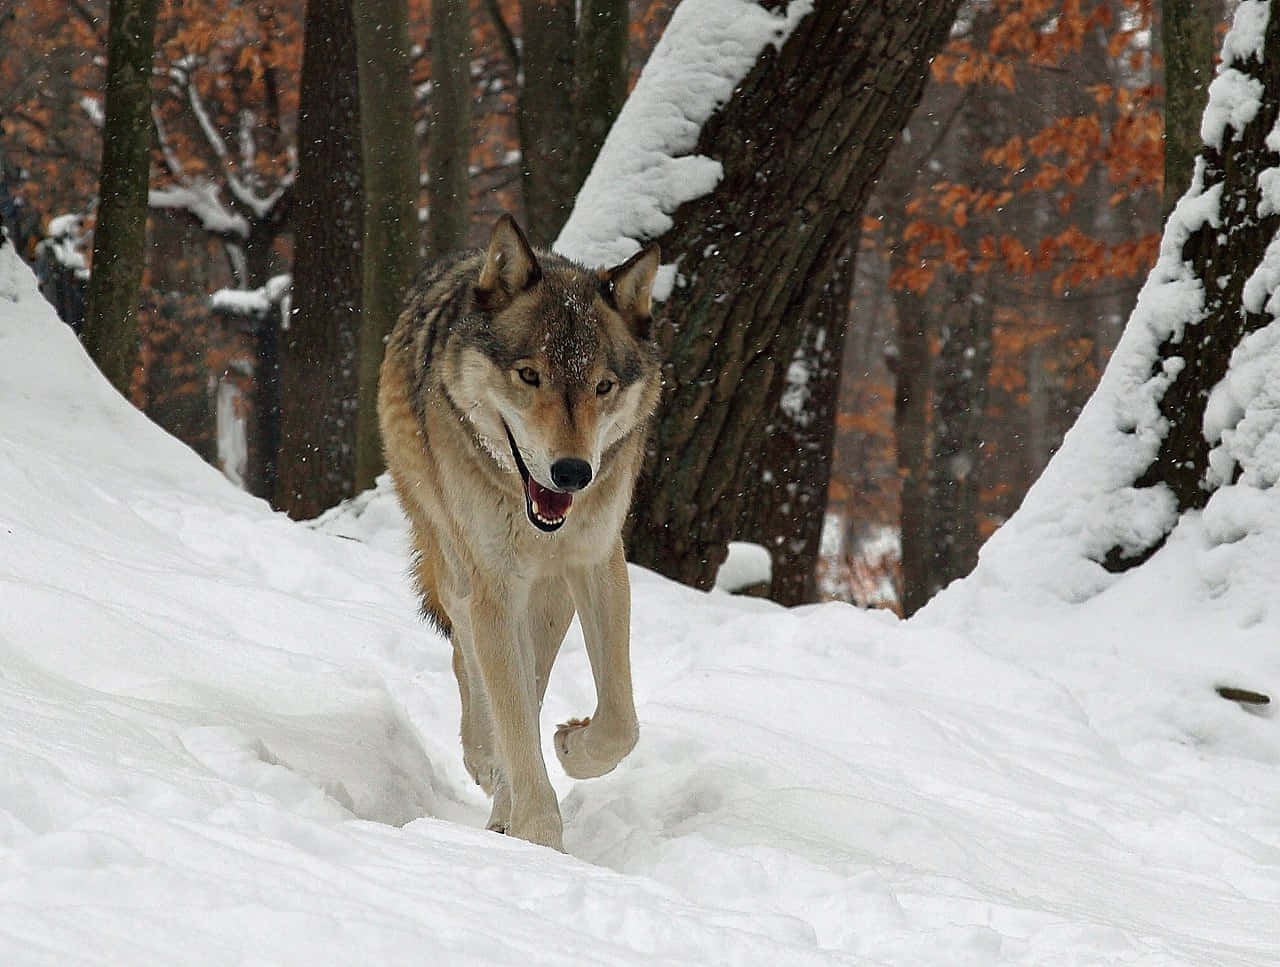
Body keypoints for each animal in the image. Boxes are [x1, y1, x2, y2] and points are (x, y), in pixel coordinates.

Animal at [376, 215, 660, 850]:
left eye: (603, 387)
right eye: (530, 376)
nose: (573, 473)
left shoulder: (596, 560)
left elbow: (620, 722)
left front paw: (573, 747)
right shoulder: (493, 585)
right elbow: (510, 711)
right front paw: (537, 840)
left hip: (548, 594)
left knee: (527, 678)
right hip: (458, 564)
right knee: (471, 665)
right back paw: (486, 764)